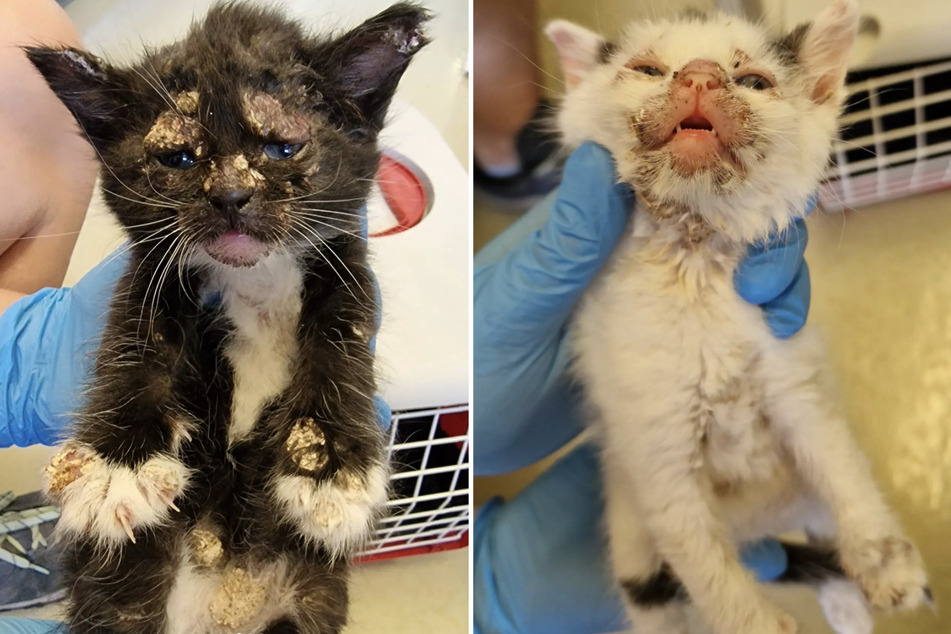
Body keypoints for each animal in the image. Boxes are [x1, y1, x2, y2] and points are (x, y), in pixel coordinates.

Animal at [29, 2, 430, 628]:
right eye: (178, 157)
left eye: (281, 147)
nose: (230, 196)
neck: (253, 281)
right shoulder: (152, 274)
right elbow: (133, 341)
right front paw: (118, 463)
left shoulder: (345, 267)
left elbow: (344, 335)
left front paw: (328, 468)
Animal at [552, 1, 928, 632]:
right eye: (648, 69)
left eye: (752, 80)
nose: (699, 75)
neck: (694, 257)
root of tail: (761, 525)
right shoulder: (655, 447)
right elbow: (703, 562)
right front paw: (754, 621)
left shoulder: (798, 387)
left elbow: (843, 470)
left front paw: (887, 564)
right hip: (627, 519)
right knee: (650, 596)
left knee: (821, 531)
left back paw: (850, 606)